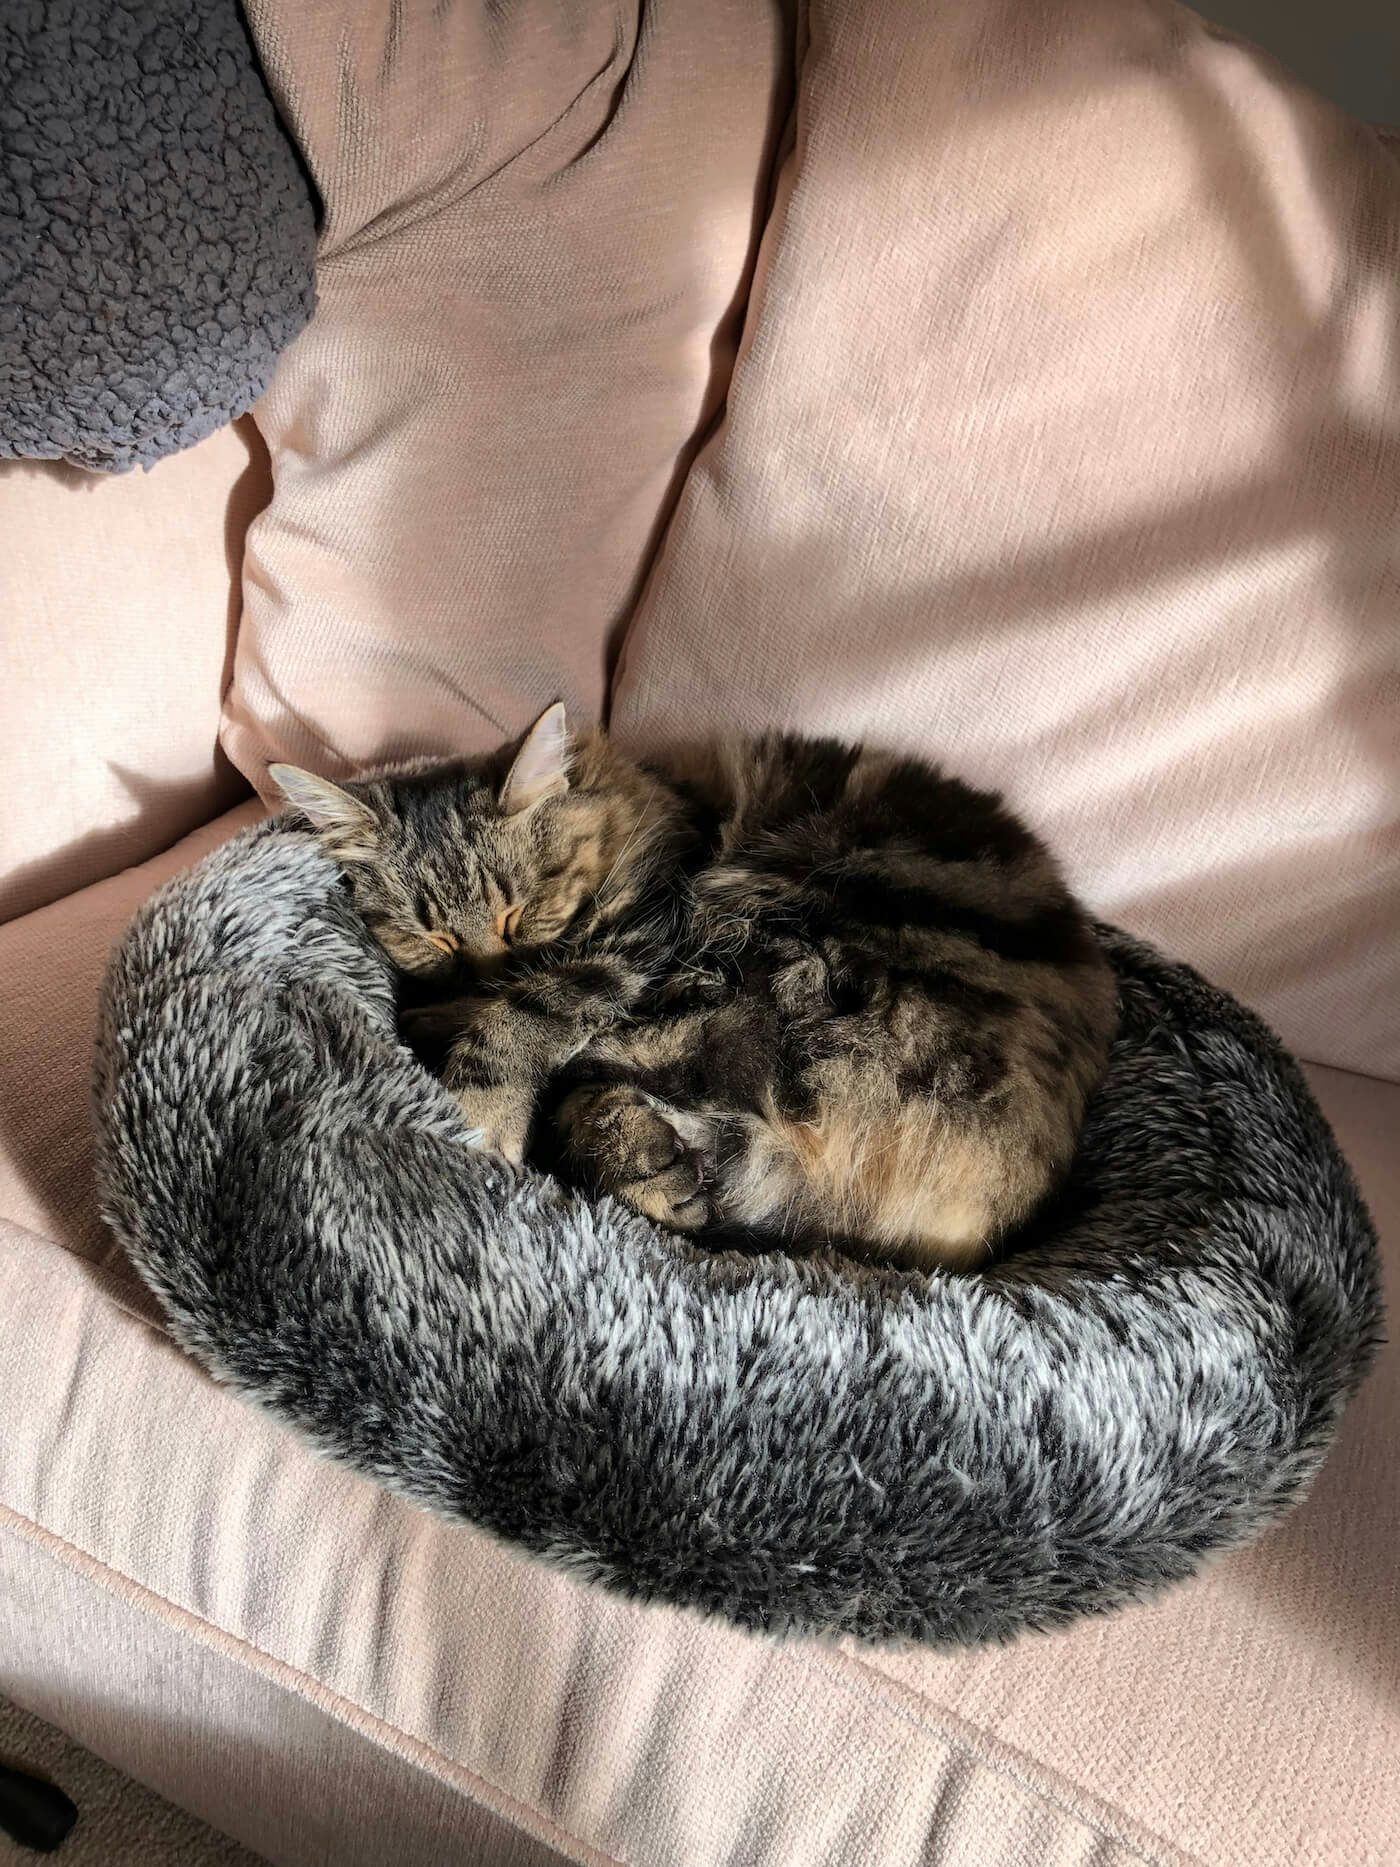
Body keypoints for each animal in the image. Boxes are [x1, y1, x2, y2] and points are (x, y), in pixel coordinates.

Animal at [274, 705, 1127, 1277]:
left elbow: (524, 1016)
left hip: (756, 946)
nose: (488, 967)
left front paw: (480, 1114)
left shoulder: (640, 938)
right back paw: (659, 1173)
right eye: (430, 936)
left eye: (524, 909)